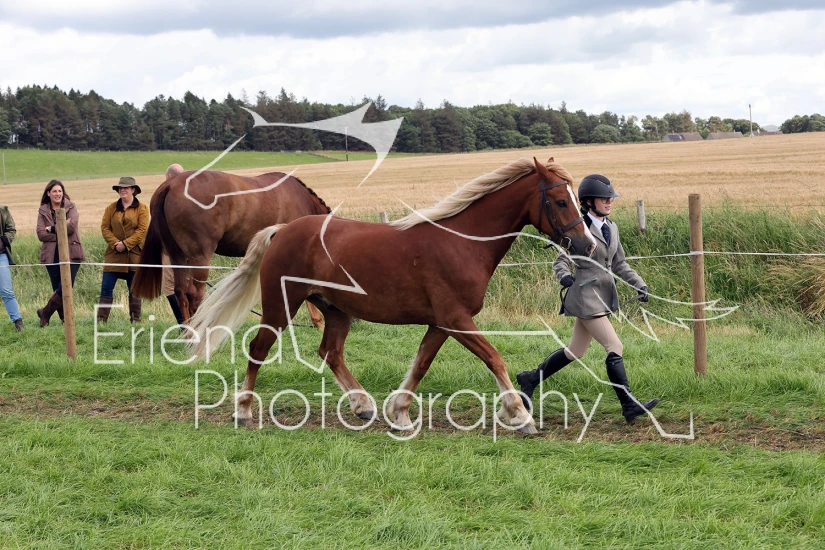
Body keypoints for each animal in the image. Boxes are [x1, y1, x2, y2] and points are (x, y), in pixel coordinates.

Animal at [130, 169, 331, 327]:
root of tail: (171, 185)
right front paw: (318, 321)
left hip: (177, 256)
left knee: (180, 292)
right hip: (200, 257)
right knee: (193, 294)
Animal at [189, 157, 596, 434]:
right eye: (561, 201)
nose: (588, 245)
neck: (462, 243)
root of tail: (283, 230)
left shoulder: (441, 323)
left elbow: (421, 364)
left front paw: (399, 414)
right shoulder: (456, 319)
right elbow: (494, 358)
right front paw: (521, 415)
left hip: (337, 311)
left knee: (330, 352)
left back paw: (363, 407)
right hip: (280, 306)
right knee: (258, 350)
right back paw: (242, 411)